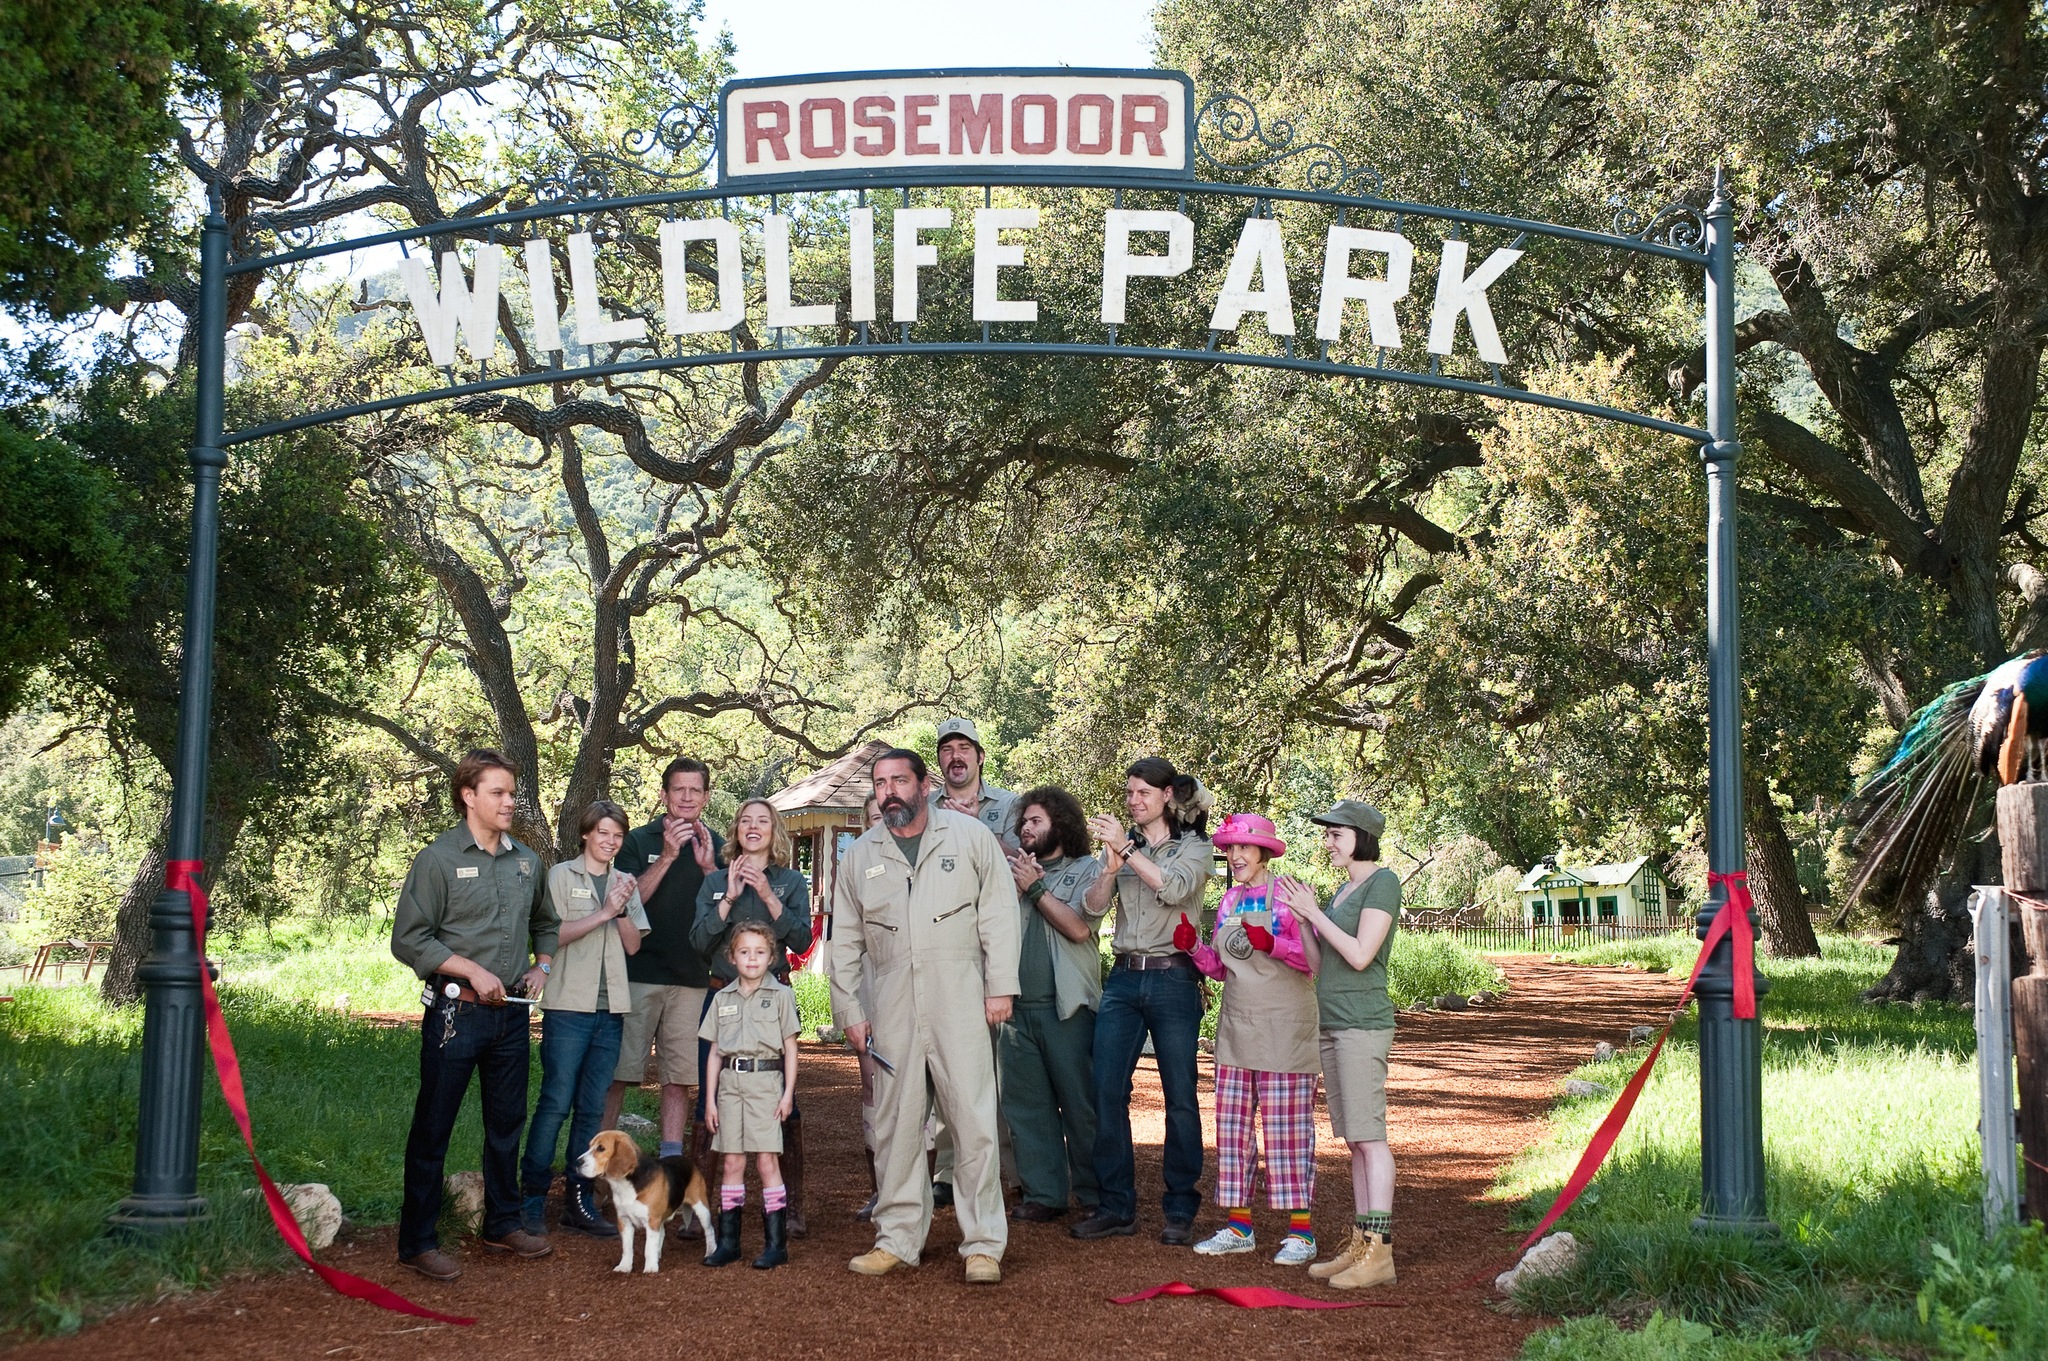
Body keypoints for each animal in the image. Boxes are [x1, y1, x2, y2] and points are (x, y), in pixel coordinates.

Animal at [573, 1121, 716, 1277]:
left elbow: (648, 1248)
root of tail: (687, 1160)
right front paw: (624, 1266)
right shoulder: (624, 1221)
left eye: (601, 1148)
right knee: (663, 1232)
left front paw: (651, 1268)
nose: (577, 1162)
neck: (624, 1185)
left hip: (701, 1207)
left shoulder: (651, 1221)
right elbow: (627, 1248)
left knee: (709, 1230)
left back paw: (711, 1252)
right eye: (589, 1146)